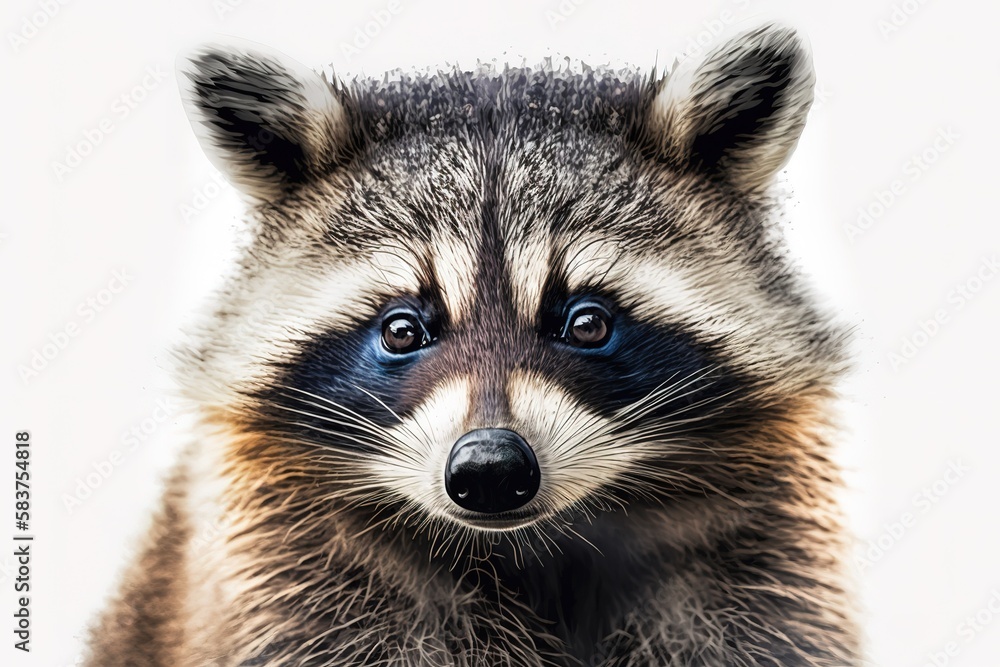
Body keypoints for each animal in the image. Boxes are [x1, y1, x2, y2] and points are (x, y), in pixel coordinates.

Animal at [86, 24, 860, 667]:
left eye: (586, 322)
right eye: (403, 329)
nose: (490, 468)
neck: (527, 548)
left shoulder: (754, 568)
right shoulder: (297, 581)